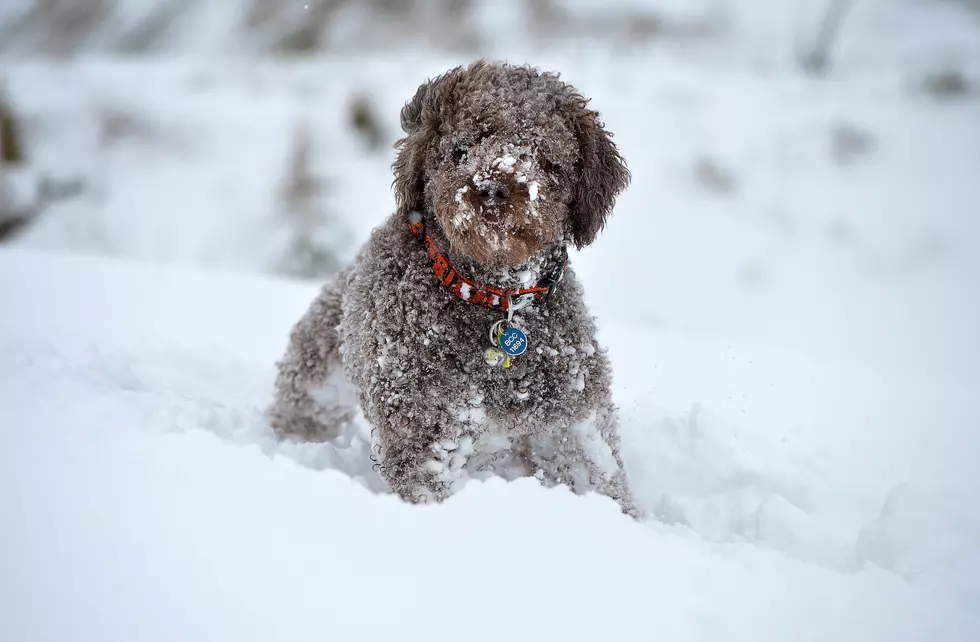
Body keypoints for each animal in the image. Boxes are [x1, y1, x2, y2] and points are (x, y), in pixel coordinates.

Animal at [268, 60, 640, 516]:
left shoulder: (573, 419)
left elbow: (601, 479)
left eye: (545, 158)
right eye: (462, 148)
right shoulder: (427, 430)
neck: (494, 297)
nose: (492, 188)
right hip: (316, 382)